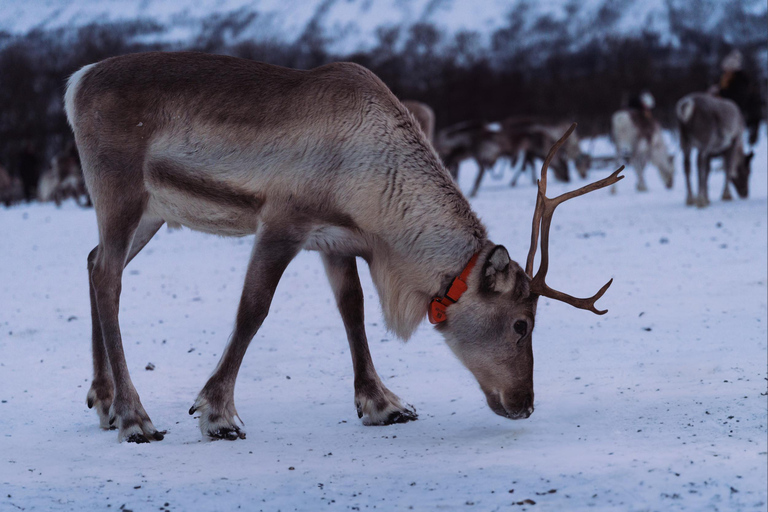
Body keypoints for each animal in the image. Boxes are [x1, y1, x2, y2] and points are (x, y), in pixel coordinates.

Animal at [65, 52, 622, 443]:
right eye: (521, 324)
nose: (524, 402)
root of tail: (76, 83)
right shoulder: (283, 221)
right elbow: (253, 310)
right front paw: (217, 414)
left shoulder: (335, 241)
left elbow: (352, 310)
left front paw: (382, 403)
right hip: (120, 191)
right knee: (109, 276)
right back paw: (135, 417)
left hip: (155, 212)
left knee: (92, 263)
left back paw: (105, 401)